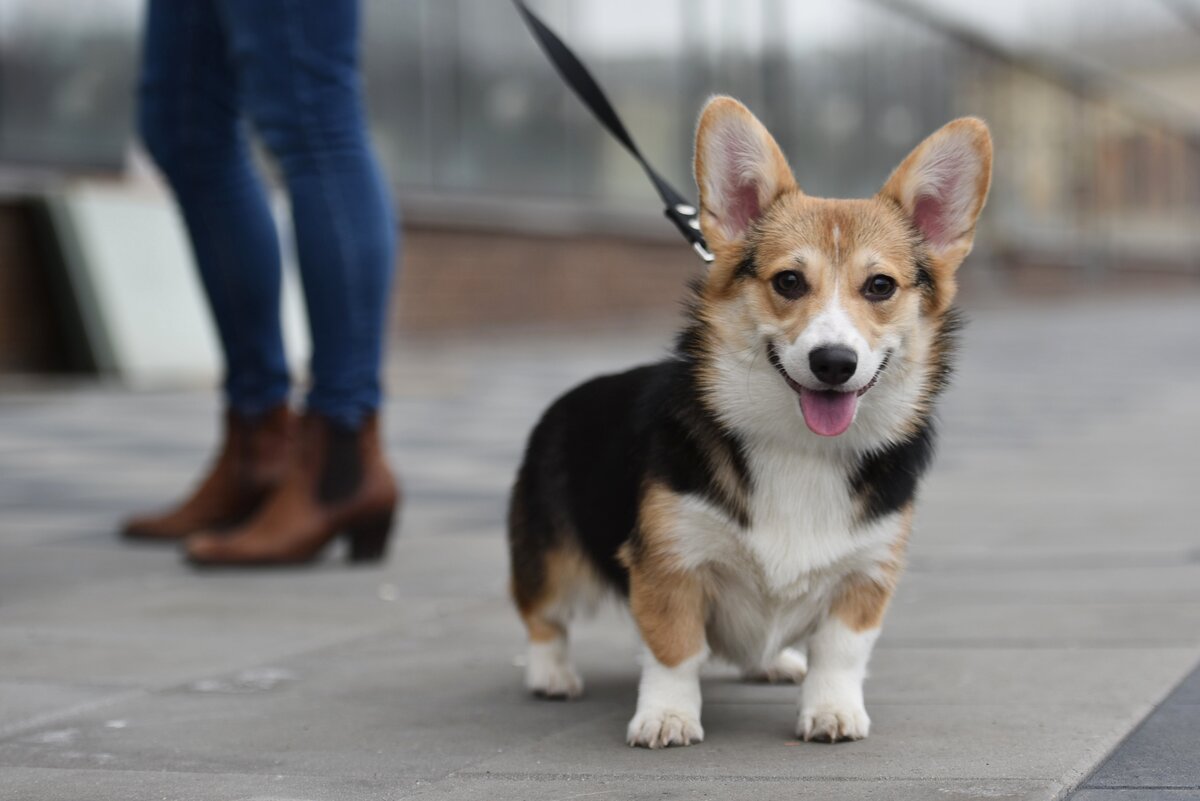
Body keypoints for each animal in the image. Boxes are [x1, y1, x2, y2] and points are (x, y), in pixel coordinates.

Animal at [506, 97, 993, 748]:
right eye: (788, 281)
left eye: (880, 286)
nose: (833, 362)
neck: (799, 447)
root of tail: (567, 398)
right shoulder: (671, 562)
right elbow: (674, 649)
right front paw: (667, 716)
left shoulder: (867, 573)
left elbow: (841, 652)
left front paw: (833, 711)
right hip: (553, 560)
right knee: (543, 617)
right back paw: (551, 675)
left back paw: (775, 662)